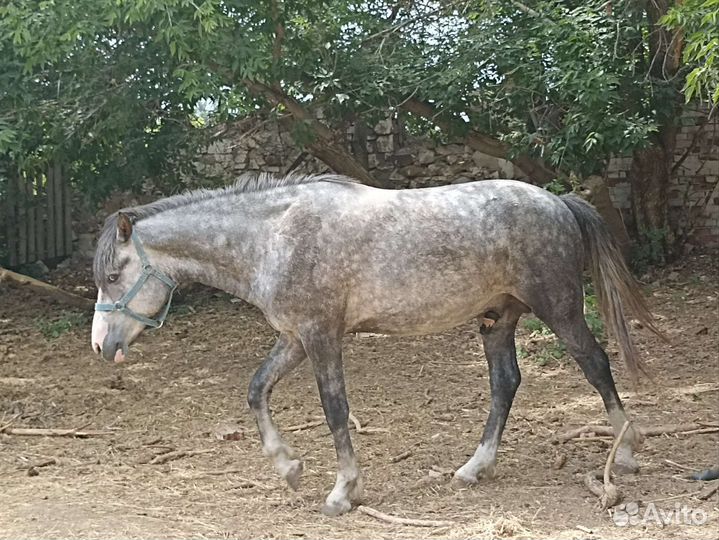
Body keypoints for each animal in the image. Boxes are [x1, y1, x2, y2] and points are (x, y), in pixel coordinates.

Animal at [91, 173, 662, 516]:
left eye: (115, 275)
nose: (101, 346)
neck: (274, 237)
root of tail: (558, 201)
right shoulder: (294, 339)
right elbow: (256, 390)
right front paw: (289, 468)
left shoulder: (321, 337)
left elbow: (335, 409)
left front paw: (343, 491)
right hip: (497, 321)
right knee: (506, 384)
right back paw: (475, 469)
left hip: (559, 309)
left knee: (596, 365)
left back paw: (627, 451)